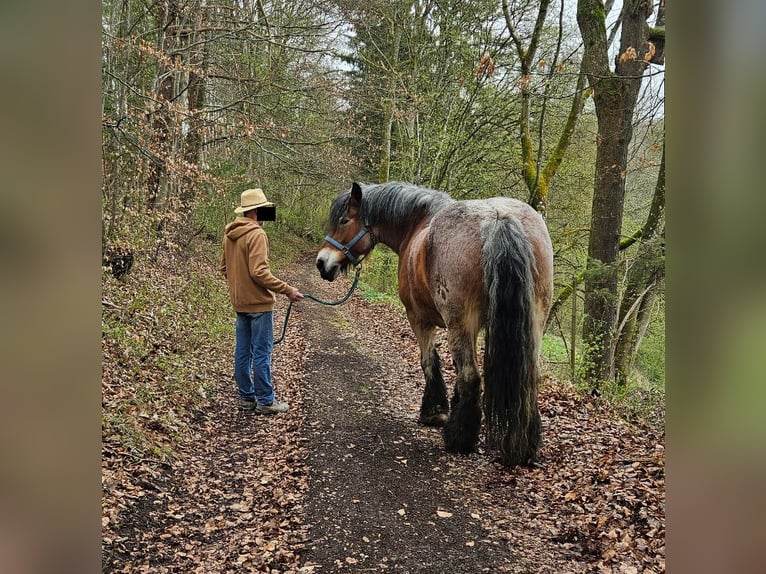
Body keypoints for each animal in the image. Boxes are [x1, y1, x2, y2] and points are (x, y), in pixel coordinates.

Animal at [316, 182, 553, 467]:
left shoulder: (419, 319)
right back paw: (523, 446)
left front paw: (434, 412)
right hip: (534, 322)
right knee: (529, 377)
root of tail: (497, 218)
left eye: (344, 220)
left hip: (460, 322)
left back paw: (459, 438)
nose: (322, 263)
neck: (418, 223)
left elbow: (429, 361)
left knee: (471, 376)